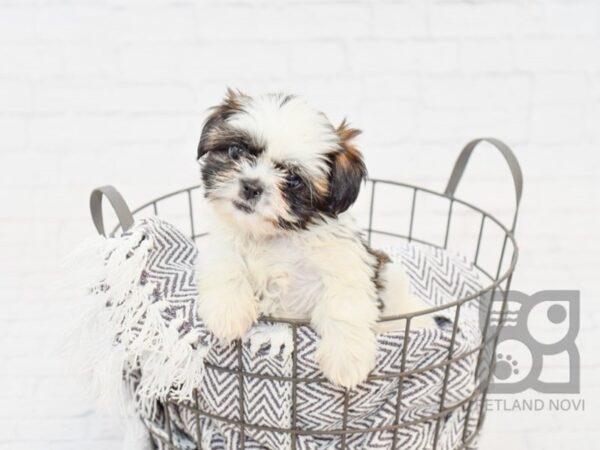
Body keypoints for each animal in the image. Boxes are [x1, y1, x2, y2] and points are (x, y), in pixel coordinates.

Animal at [197, 89, 432, 388]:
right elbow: (224, 263)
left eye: (293, 179)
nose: (251, 186)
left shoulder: (344, 265)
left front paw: (347, 359)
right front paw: (227, 312)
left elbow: (344, 304)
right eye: (235, 151)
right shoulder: (223, 242)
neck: (275, 235)